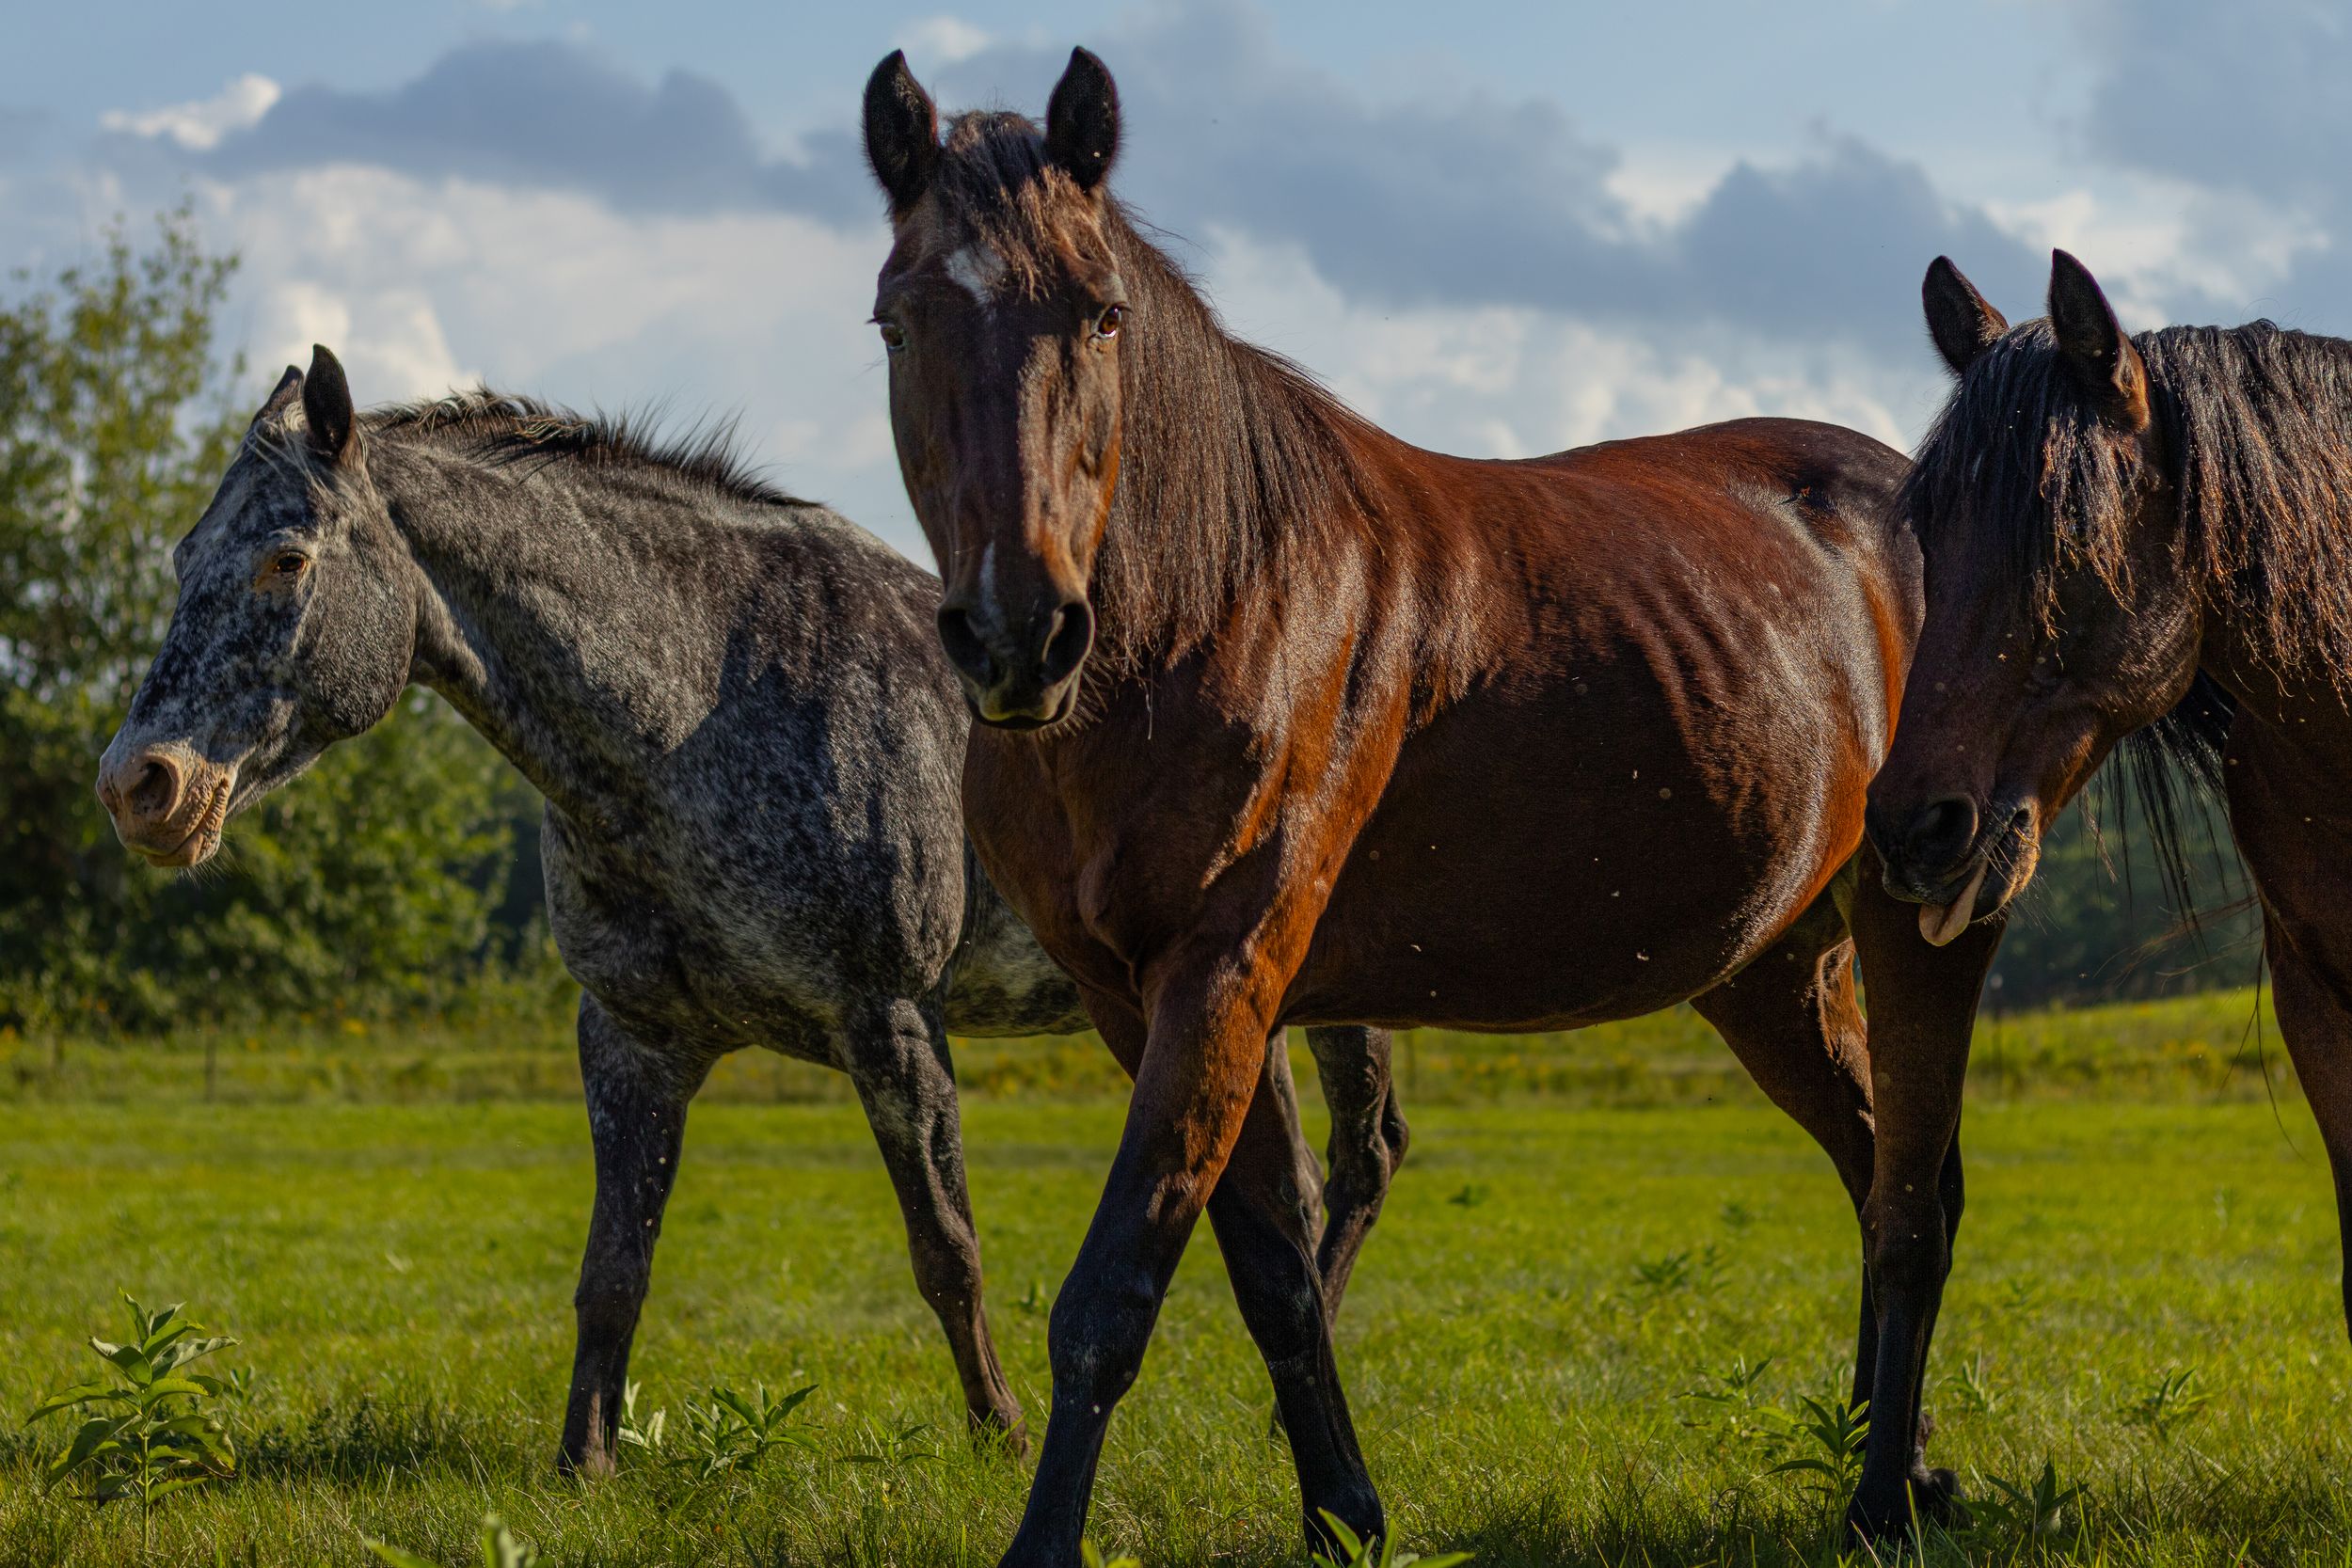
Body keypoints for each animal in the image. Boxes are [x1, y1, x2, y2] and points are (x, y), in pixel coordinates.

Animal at [92, 348, 1405, 1477]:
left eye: (287, 558)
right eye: (182, 556)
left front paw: (1001, 1434)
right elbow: (614, 1265)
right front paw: (584, 1458)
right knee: (1294, 1182)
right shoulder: (634, 1037)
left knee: (1350, 1162)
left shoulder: (890, 1023)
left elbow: (947, 1248)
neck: (696, 712)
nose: (139, 783)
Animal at [860, 46, 2004, 1560]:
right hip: (1773, 972)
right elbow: (1273, 1273)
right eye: (898, 321)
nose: (1015, 633)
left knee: (1914, 1196)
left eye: (1099, 312)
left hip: (1923, 921)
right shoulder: (1148, 997)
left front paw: (1049, 1539)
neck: (1209, 609)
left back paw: (1883, 1494)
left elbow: (1114, 1293)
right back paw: (1905, 1458)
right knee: (1879, 1169)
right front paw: (1343, 1512)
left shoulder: (1221, 971)